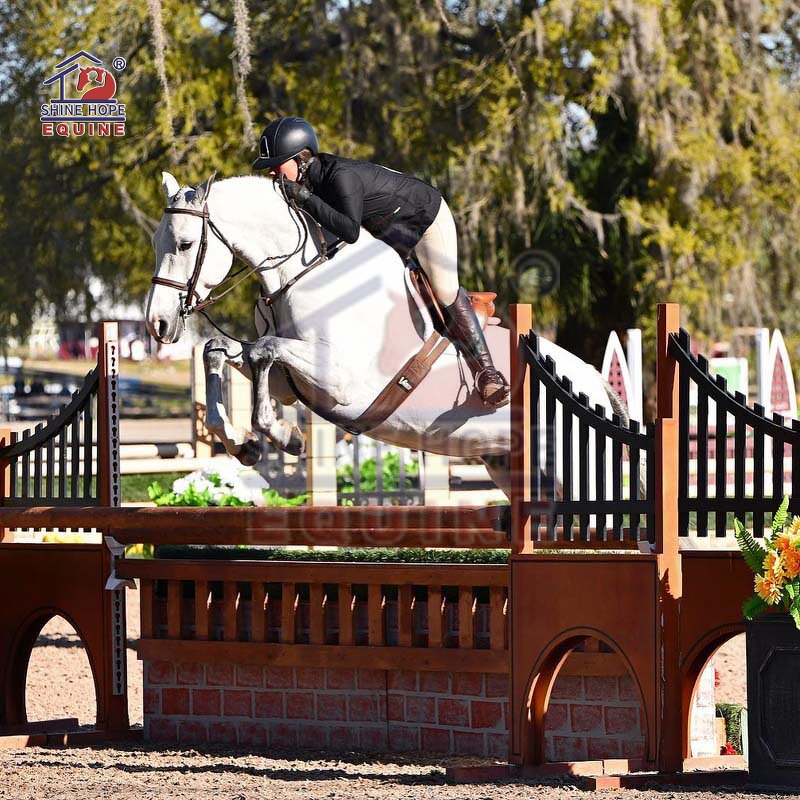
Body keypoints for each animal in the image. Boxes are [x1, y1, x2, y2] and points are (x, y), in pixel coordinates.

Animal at [146, 171, 623, 497]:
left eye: (185, 244)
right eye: (156, 242)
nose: (158, 324)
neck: (302, 273)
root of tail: (596, 383)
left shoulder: (340, 382)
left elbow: (264, 349)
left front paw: (282, 433)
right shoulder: (290, 381)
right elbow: (218, 349)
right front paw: (245, 444)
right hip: (510, 464)